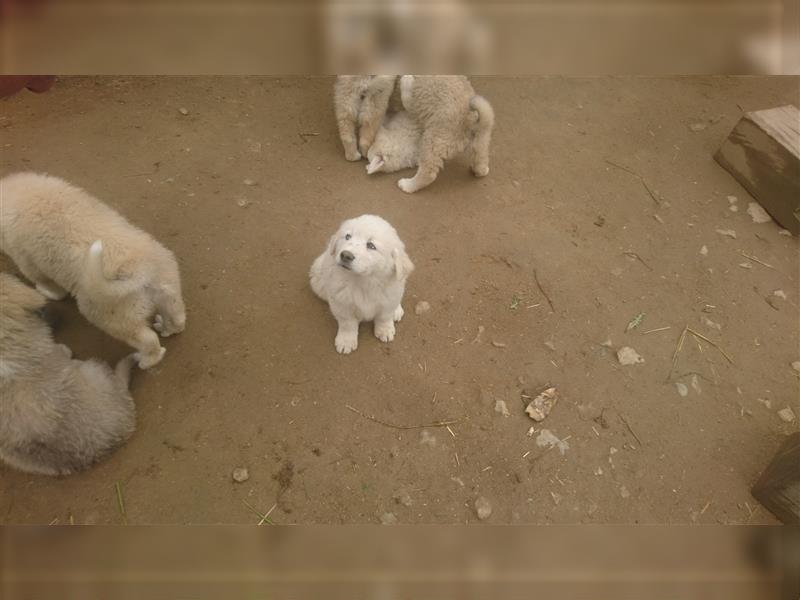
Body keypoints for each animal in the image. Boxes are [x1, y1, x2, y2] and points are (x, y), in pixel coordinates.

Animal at [0, 171, 186, 368]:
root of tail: (141, 270)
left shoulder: (26, 259)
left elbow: (45, 284)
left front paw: (49, 292)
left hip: (110, 316)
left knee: (148, 340)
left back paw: (147, 360)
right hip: (169, 291)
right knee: (178, 319)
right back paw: (166, 328)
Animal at [310, 216, 416, 354]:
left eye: (371, 245)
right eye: (347, 236)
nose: (345, 255)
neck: (363, 281)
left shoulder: (388, 300)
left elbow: (384, 317)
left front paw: (385, 330)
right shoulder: (342, 304)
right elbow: (347, 324)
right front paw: (346, 341)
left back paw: (397, 310)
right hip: (318, 279)